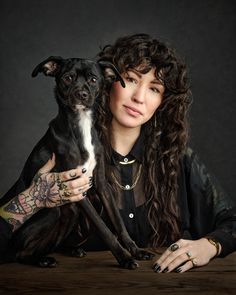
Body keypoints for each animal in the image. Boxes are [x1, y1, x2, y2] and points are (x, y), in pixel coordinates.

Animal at [1, 56, 153, 270]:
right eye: (68, 77)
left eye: (94, 79)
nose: (82, 94)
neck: (81, 124)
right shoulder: (75, 188)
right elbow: (104, 228)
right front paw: (125, 258)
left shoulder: (101, 185)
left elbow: (118, 223)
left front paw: (136, 251)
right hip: (53, 212)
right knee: (20, 253)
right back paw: (41, 259)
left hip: (74, 212)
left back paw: (67, 251)